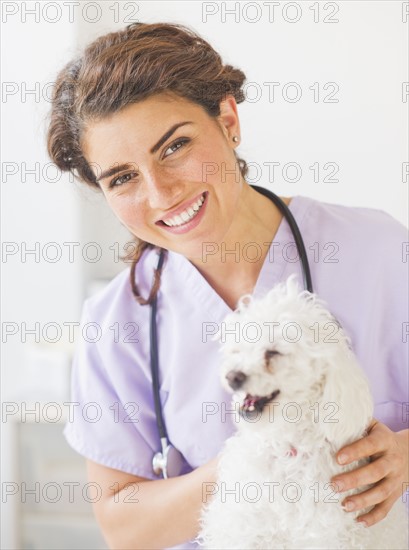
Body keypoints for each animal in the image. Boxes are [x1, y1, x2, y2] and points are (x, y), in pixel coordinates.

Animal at [196, 278, 406, 550]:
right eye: (238, 350)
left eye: (273, 352)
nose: (233, 376)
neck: (286, 449)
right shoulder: (243, 526)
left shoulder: (326, 534)